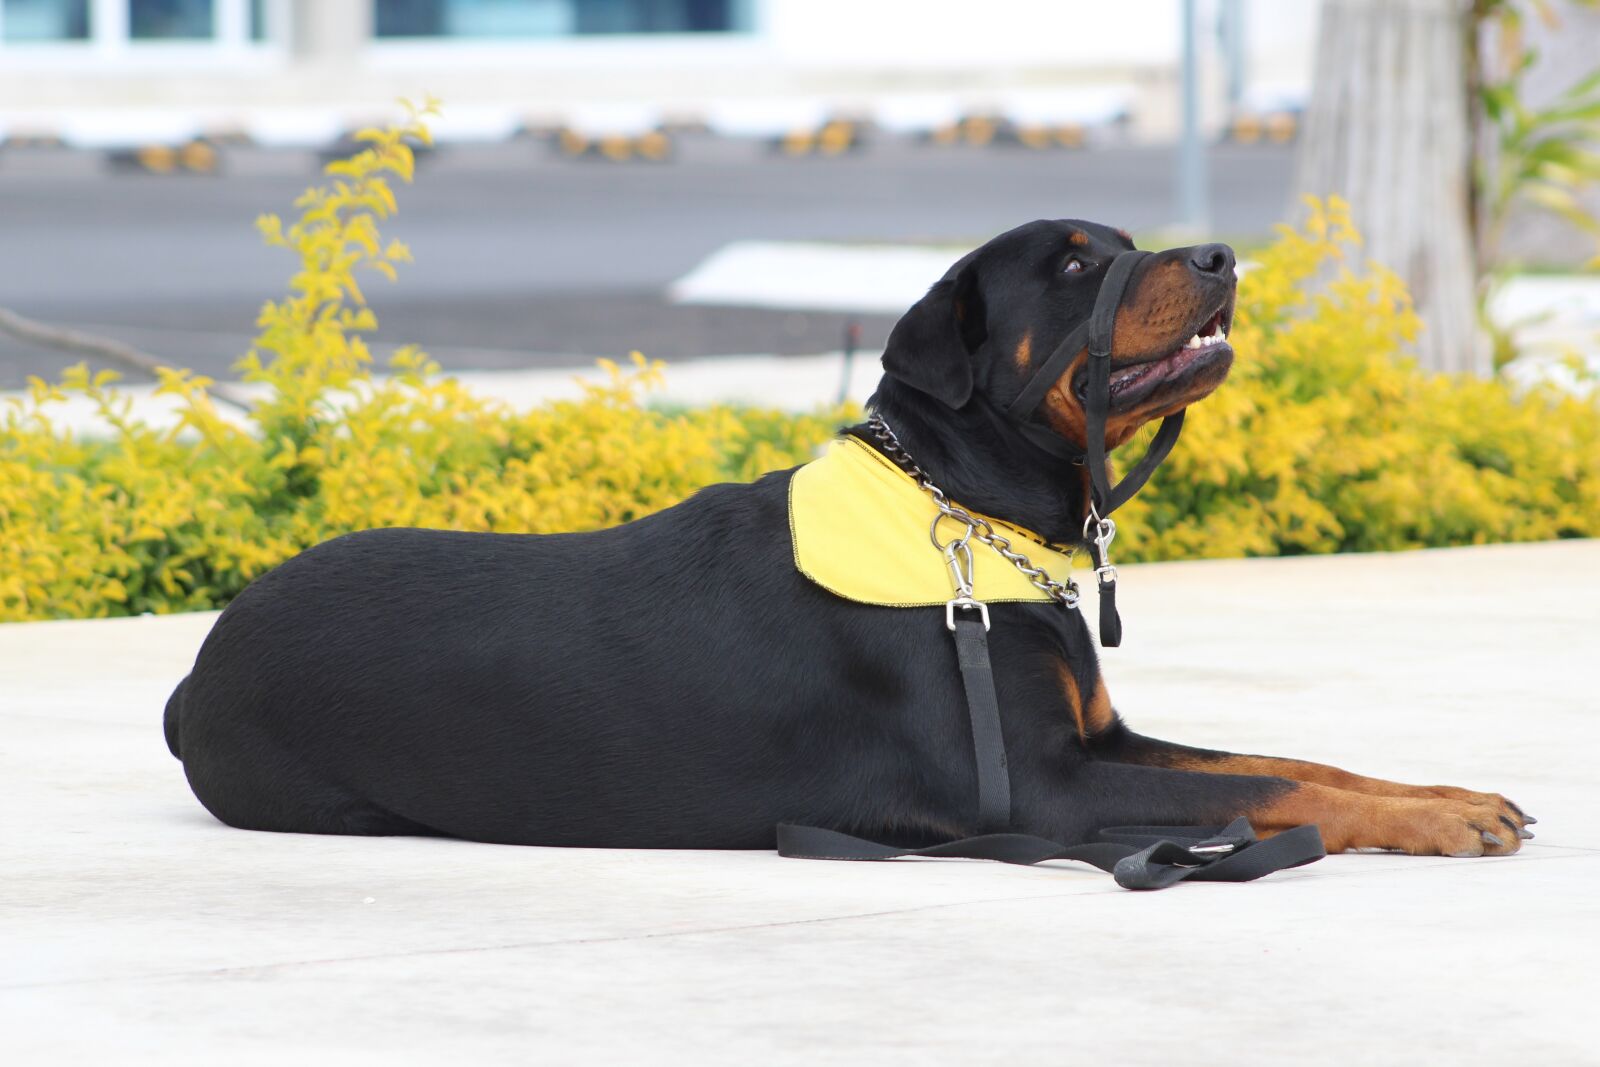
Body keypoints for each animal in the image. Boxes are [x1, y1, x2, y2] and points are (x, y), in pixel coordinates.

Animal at [168, 223, 1529, 857]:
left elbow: (1295, 761)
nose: (1218, 253)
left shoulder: (1099, 740)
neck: (969, 503)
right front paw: (1439, 821)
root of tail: (194, 669)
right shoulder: (1041, 784)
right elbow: (1271, 784)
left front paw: (1442, 797)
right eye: (1073, 265)